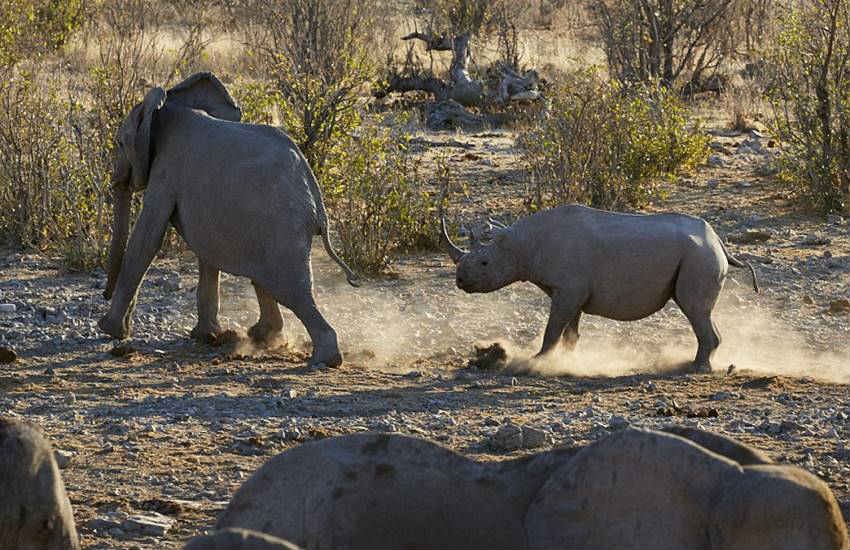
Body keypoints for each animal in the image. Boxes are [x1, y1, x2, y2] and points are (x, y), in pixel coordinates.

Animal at [99, 72, 358, 366]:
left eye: (120, 143)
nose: (104, 294)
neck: (168, 106)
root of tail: (316, 196)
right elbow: (206, 253)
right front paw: (206, 336)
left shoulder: (166, 170)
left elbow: (147, 239)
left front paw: (109, 330)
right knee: (266, 280)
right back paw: (261, 336)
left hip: (284, 230)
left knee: (292, 290)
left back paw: (324, 358)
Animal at [441, 204, 759, 372]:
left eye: (484, 263)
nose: (460, 281)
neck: (521, 245)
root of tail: (719, 242)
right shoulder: (570, 291)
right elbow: (569, 330)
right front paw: (567, 360)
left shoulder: (568, 289)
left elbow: (552, 329)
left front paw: (535, 362)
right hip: (700, 254)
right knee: (699, 311)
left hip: (699, 256)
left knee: (694, 309)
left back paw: (694, 368)